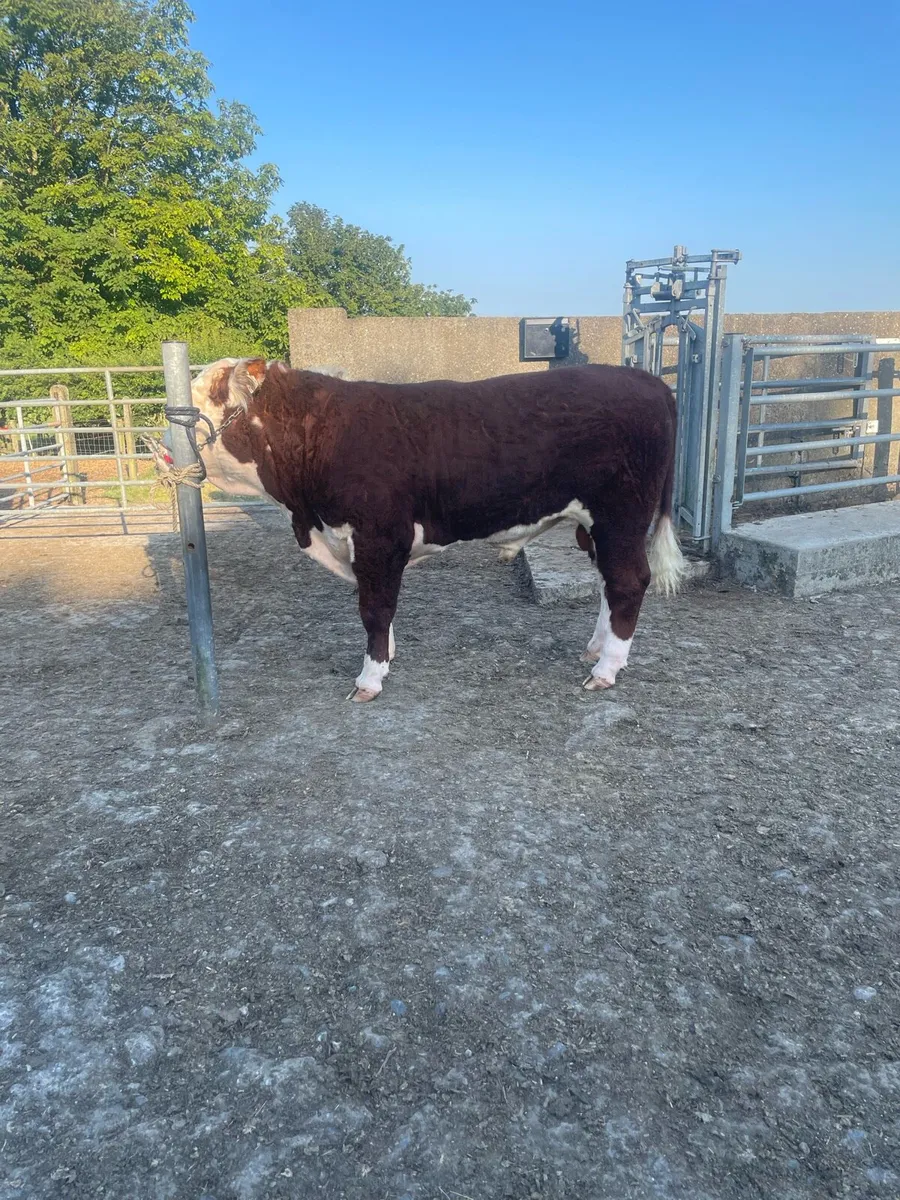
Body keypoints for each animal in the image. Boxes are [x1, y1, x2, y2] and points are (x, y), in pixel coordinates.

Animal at [180, 358, 685, 702]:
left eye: (203, 397)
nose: (165, 449)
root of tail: (647, 380)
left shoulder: (380, 537)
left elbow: (374, 609)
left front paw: (370, 678)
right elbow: (377, 606)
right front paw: (386, 657)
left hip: (621, 515)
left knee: (628, 582)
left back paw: (606, 670)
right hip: (597, 526)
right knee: (608, 583)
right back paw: (595, 649)